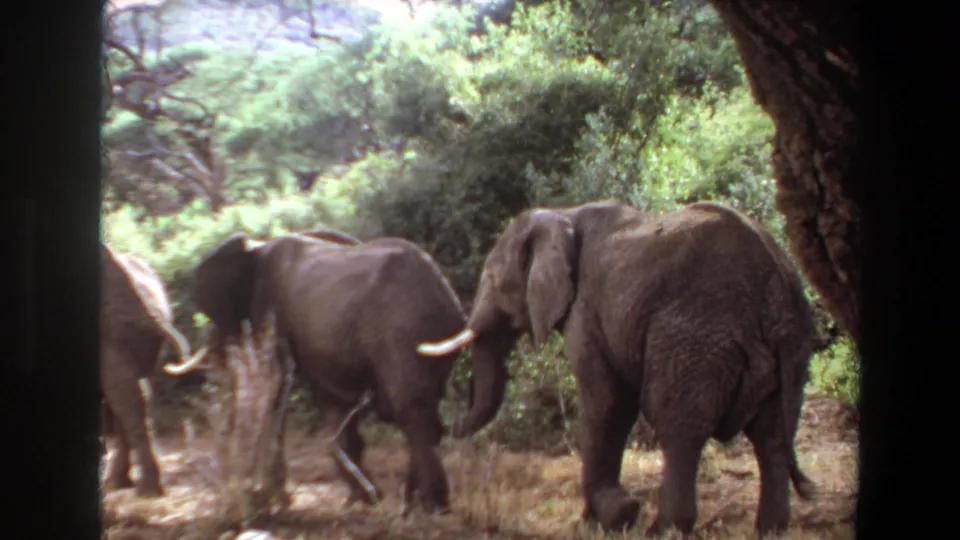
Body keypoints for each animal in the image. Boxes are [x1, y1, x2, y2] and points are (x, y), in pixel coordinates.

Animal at [162, 229, 511, 514]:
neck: (256, 246)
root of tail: (448, 296)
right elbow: (334, 403)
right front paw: (361, 499)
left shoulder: (270, 314)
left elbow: (275, 389)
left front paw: (278, 501)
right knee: (422, 410)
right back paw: (412, 502)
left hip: (403, 332)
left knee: (413, 411)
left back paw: (429, 506)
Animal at [417, 199, 819, 537]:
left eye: (491, 279)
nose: (448, 425)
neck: (562, 214)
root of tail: (775, 280)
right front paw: (608, 516)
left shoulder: (585, 311)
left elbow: (608, 403)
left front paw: (608, 518)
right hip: (793, 345)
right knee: (772, 435)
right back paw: (771, 530)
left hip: (696, 337)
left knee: (678, 426)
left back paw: (664, 529)